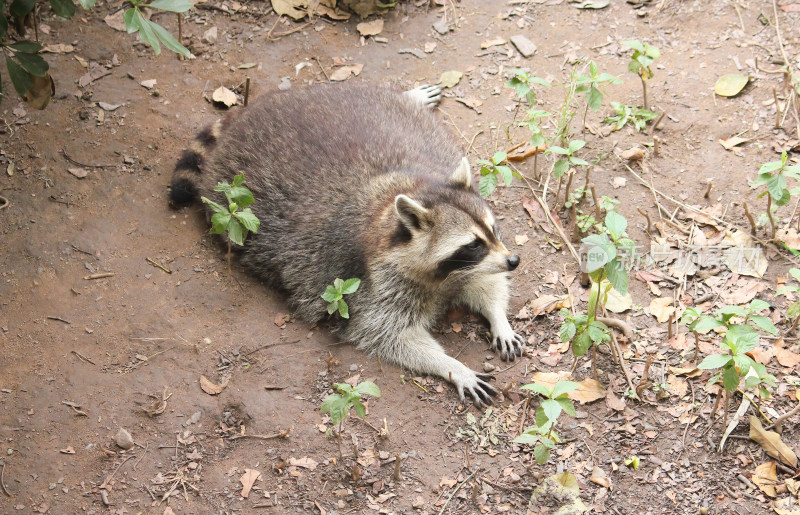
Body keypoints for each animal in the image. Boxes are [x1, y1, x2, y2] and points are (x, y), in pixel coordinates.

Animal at [169, 81, 524, 408]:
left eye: (494, 230)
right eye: (472, 244)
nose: (514, 261)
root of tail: (254, 109)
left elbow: (485, 282)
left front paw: (499, 318)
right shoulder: (373, 284)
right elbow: (388, 335)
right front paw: (452, 366)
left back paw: (409, 96)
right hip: (229, 197)